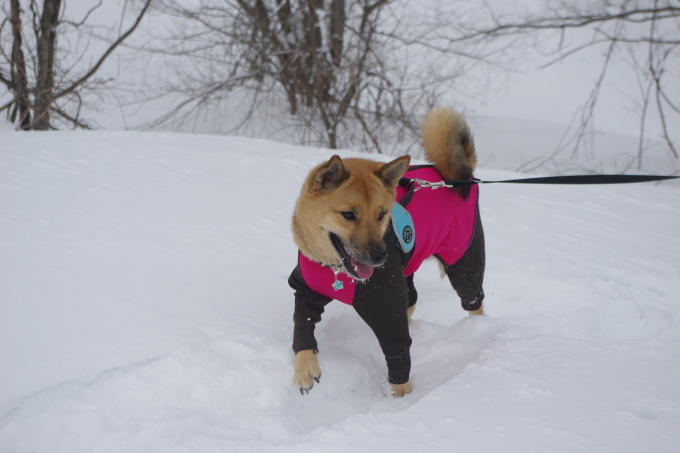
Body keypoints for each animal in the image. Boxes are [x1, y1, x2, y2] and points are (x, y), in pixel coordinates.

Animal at [286, 108, 484, 396]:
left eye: (381, 214)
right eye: (349, 215)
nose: (380, 256)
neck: (336, 271)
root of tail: (454, 176)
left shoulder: (388, 310)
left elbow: (398, 353)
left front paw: (399, 400)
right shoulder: (305, 290)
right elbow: (302, 326)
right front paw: (305, 369)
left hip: (464, 261)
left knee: (473, 299)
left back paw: (480, 330)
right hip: (409, 269)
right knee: (412, 298)